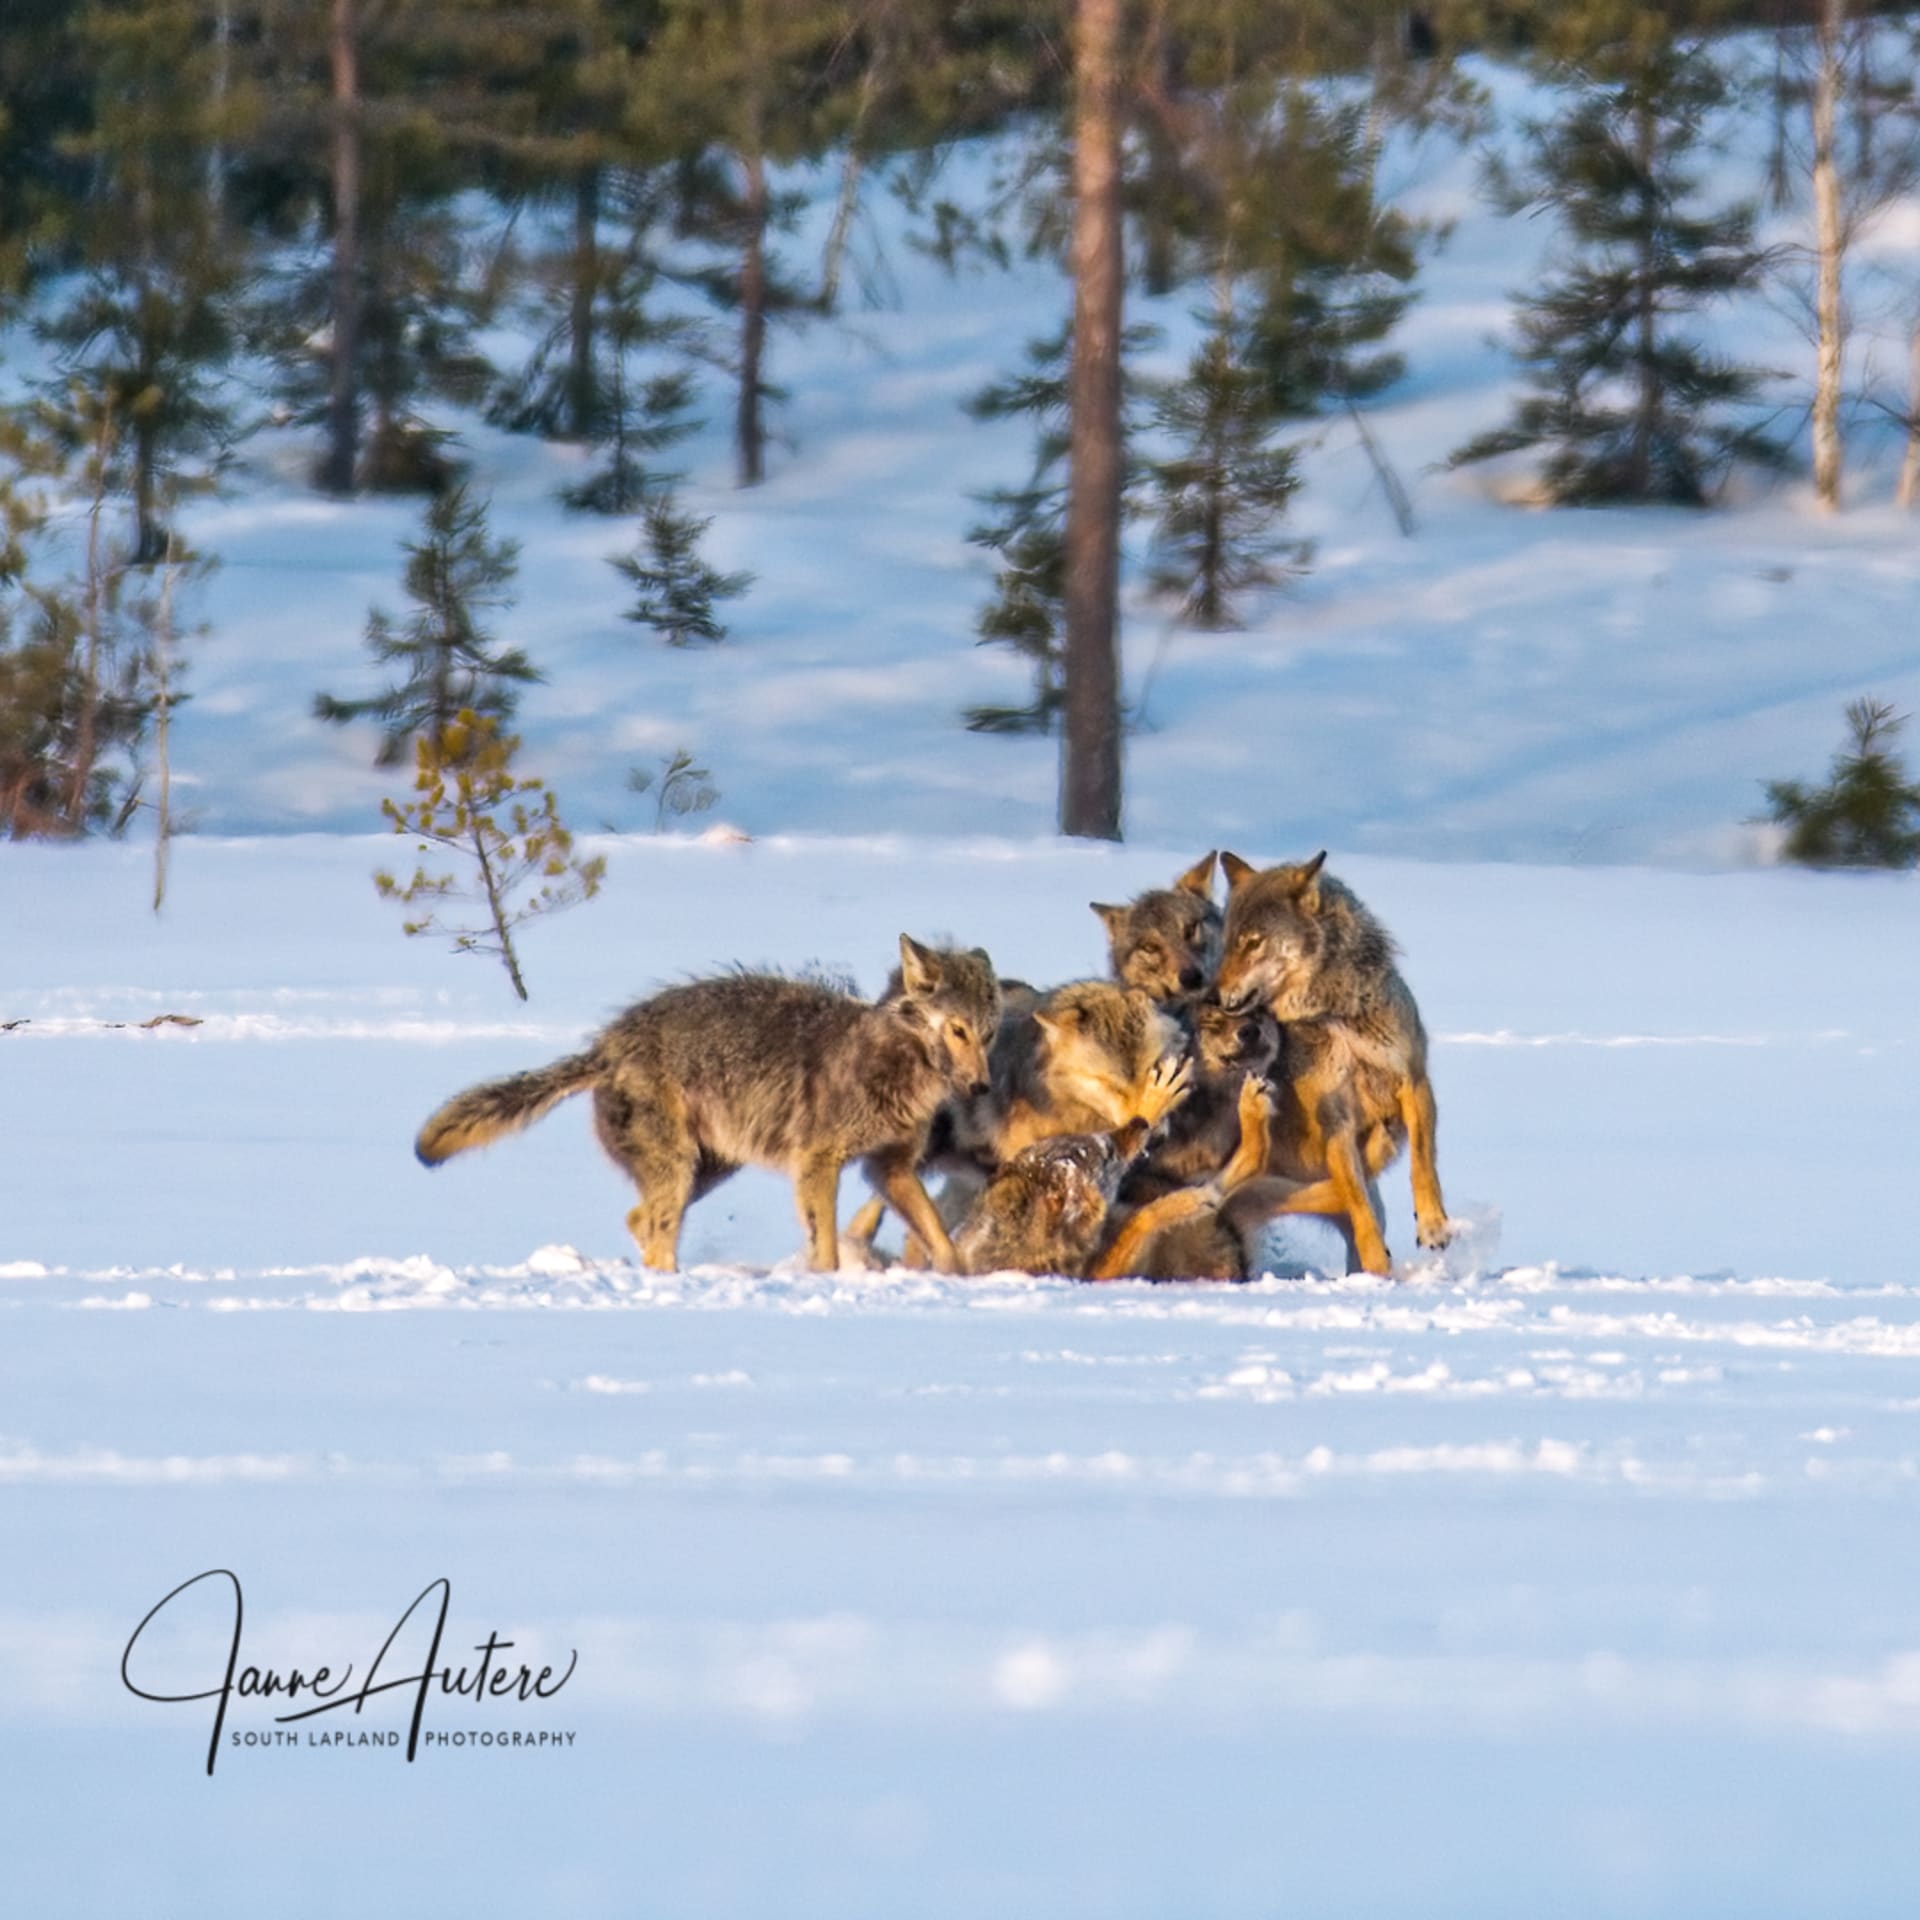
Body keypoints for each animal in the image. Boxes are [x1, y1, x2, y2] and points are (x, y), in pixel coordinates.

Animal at [412, 933, 998, 1267]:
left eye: (988, 1034)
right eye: (957, 1030)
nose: (982, 1089)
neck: (895, 1064)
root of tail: (604, 1046)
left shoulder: (889, 1168)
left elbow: (944, 1243)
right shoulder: (817, 1165)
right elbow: (827, 1254)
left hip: (706, 1172)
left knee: (638, 1221)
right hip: (682, 1171)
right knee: (653, 1233)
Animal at [1213, 856, 1451, 1274]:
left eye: (1254, 942)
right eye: (1227, 944)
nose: (1214, 993)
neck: (1332, 1013)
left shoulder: (1414, 1081)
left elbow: (1423, 1162)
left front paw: (1433, 1224)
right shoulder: (1334, 1121)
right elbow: (1358, 1207)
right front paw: (1378, 1270)